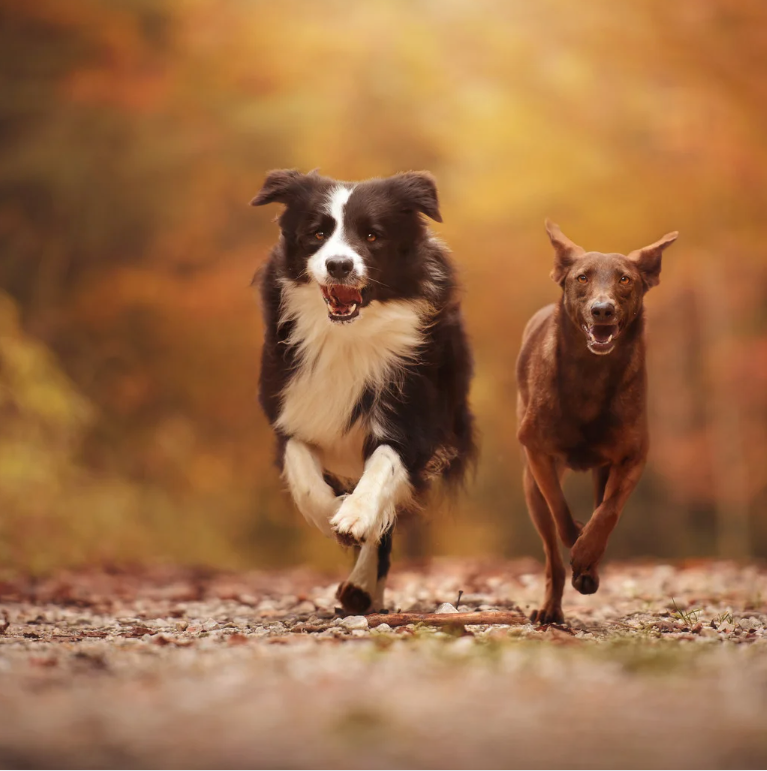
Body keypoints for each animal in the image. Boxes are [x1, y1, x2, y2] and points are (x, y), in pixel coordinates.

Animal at [252, 170, 474, 616]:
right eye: (317, 233)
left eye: (372, 236)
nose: (339, 264)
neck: (348, 336)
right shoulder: (290, 407)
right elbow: (302, 469)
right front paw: (333, 512)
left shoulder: (412, 421)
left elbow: (383, 467)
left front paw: (354, 516)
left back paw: (361, 587)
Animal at [516, 220, 680, 624]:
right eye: (582, 278)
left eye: (624, 279)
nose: (602, 310)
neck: (591, 372)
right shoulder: (538, 452)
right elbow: (560, 510)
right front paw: (575, 541)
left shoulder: (633, 456)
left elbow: (608, 511)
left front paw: (587, 555)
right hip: (530, 486)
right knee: (551, 554)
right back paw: (551, 607)